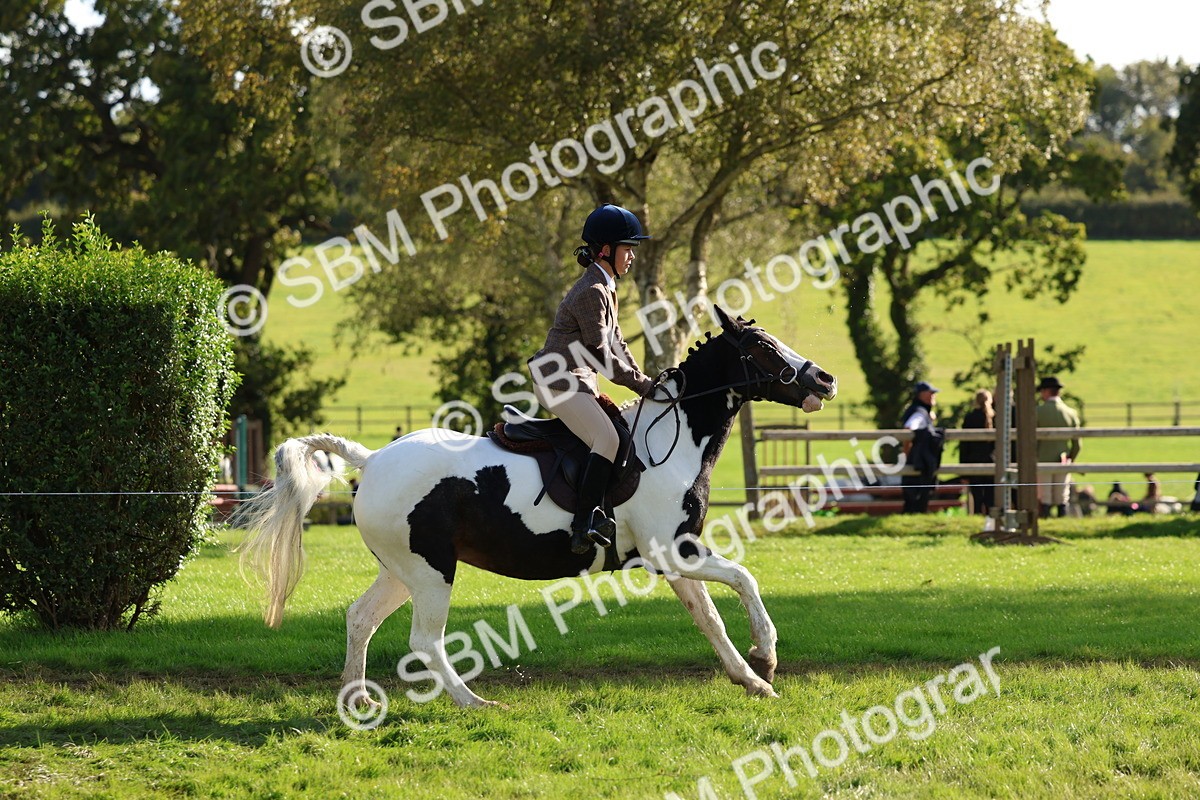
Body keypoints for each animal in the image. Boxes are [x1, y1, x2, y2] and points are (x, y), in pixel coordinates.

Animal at [236, 305, 837, 708]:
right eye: (762, 348)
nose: (825, 379)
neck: (674, 439)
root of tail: (375, 456)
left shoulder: (672, 560)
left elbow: (710, 620)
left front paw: (751, 679)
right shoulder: (677, 552)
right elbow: (743, 579)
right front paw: (766, 655)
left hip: (402, 570)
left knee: (360, 618)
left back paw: (356, 699)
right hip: (432, 573)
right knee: (425, 640)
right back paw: (475, 704)